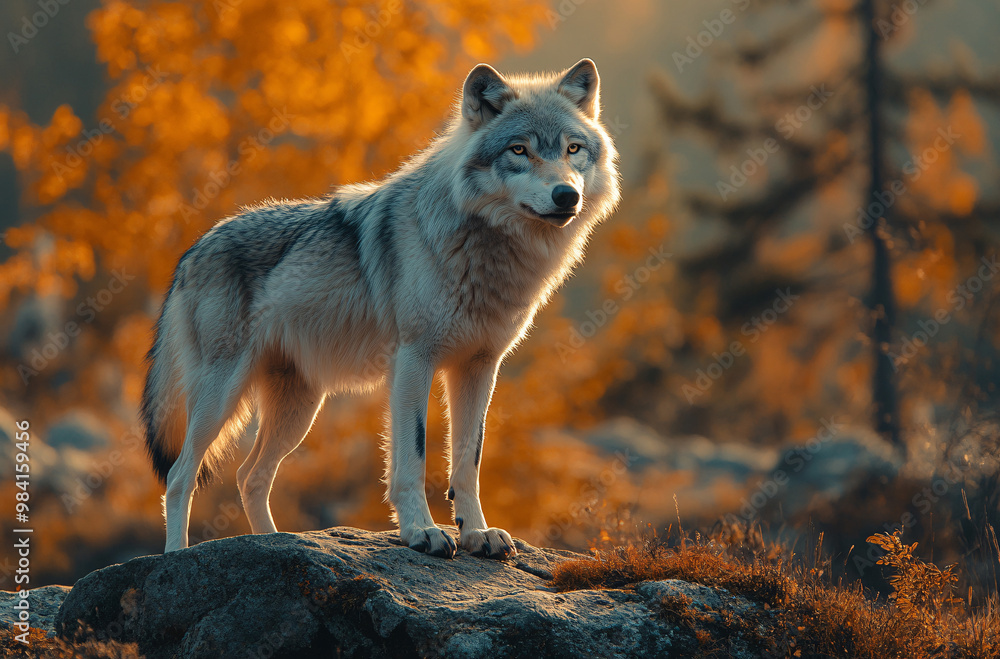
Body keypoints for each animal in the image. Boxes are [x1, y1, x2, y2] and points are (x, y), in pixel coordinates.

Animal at [142, 58, 621, 558]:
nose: (566, 195)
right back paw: (176, 557)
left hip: (300, 410)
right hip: (222, 397)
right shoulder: (413, 360)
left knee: (248, 476)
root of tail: (193, 247)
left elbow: (468, 462)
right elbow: (412, 456)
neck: (484, 249)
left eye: (572, 148)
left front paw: (476, 533)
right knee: (179, 477)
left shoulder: (480, 367)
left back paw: (272, 544)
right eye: (519, 150)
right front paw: (421, 531)